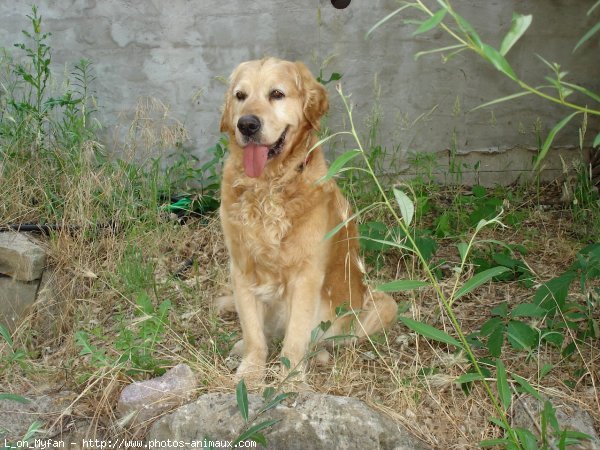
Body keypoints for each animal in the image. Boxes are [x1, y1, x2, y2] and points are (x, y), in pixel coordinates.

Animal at [218, 58, 396, 384]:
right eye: (240, 96)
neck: (268, 186)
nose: (246, 124)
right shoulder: (241, 269)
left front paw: (290, 379)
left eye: (276, 94)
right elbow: (253, 334)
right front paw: (251, 372)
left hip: (383, 305)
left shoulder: (306, 276)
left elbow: (296, 337)